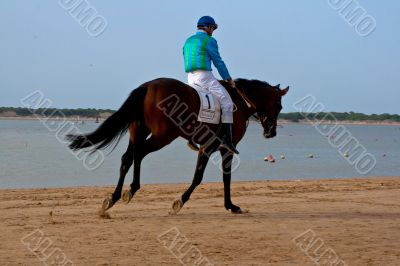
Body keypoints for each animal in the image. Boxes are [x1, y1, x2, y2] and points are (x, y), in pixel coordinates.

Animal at [67, 77, 290, 214]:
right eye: (279, 106)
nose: (271, 132)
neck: (240, 101)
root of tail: (148, 85)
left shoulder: (215, 148)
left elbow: (222, 178)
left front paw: (230, 205)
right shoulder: (215, 147)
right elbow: (203, 177)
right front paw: (181, 201)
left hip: (138, 132)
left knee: (128, 158)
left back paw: (113, 197)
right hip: (162, 137)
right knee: (139, 154)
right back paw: (131, 189)